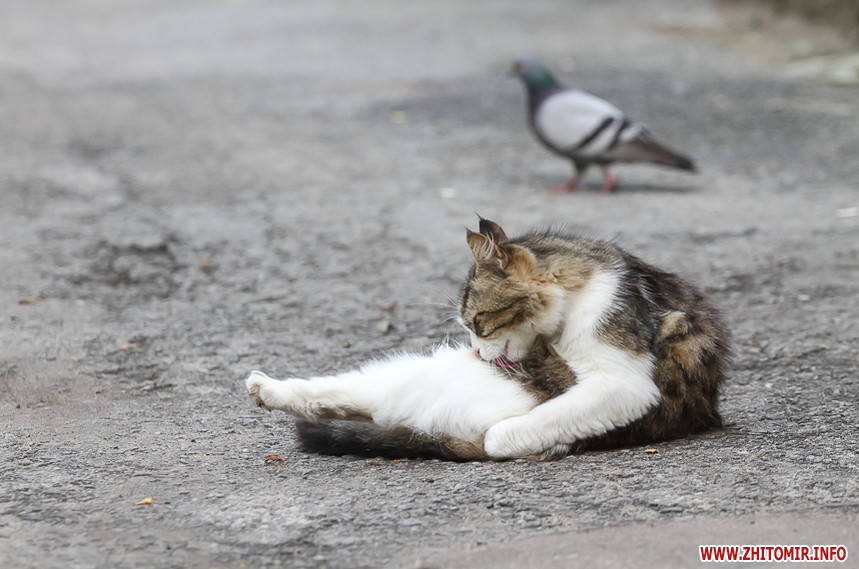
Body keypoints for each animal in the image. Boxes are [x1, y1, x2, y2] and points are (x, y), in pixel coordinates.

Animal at [245, 218, 730, 460]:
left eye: (479, 325)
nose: (477, 351)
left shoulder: (624, 384)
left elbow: (502, 438)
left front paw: (533, 443)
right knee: (346, 394)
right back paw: (265, 388)